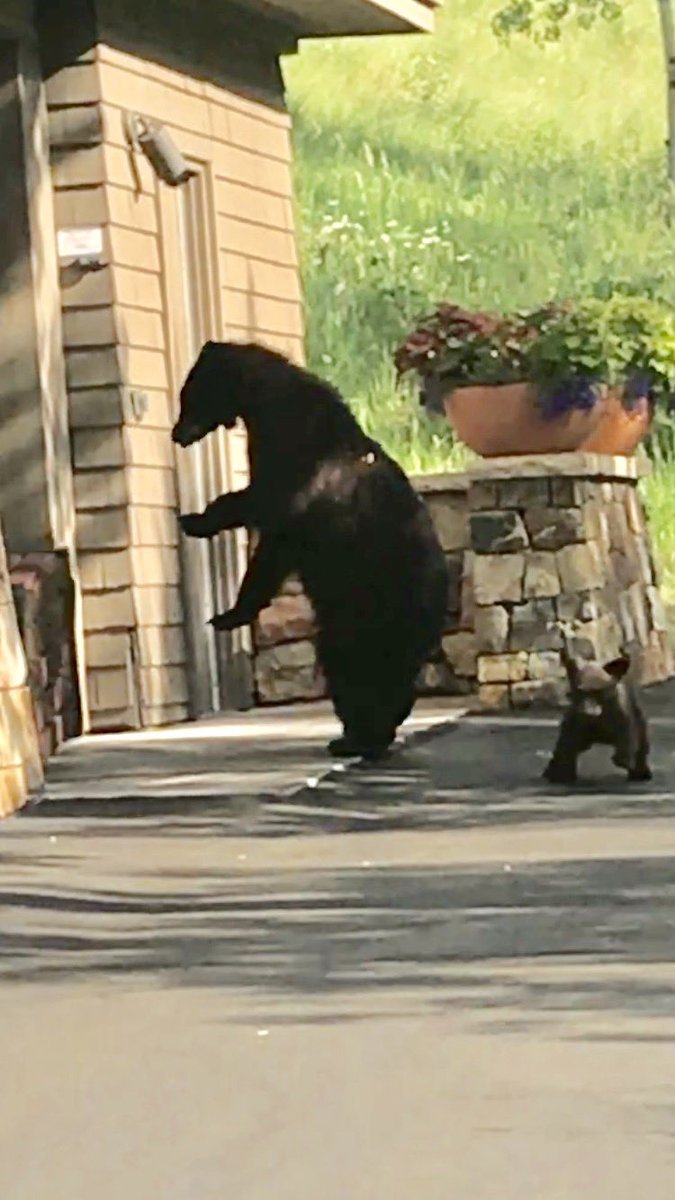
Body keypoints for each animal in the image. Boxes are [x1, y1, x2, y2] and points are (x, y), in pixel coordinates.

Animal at [172, 340, 449, 761]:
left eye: (187, 395)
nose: (175, 433)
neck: (266, 405)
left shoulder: (295, 465)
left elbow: (264, 511)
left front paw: (197, 524)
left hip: (373, 606)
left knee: (357, 666)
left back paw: (360, 736)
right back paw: (367, 733)